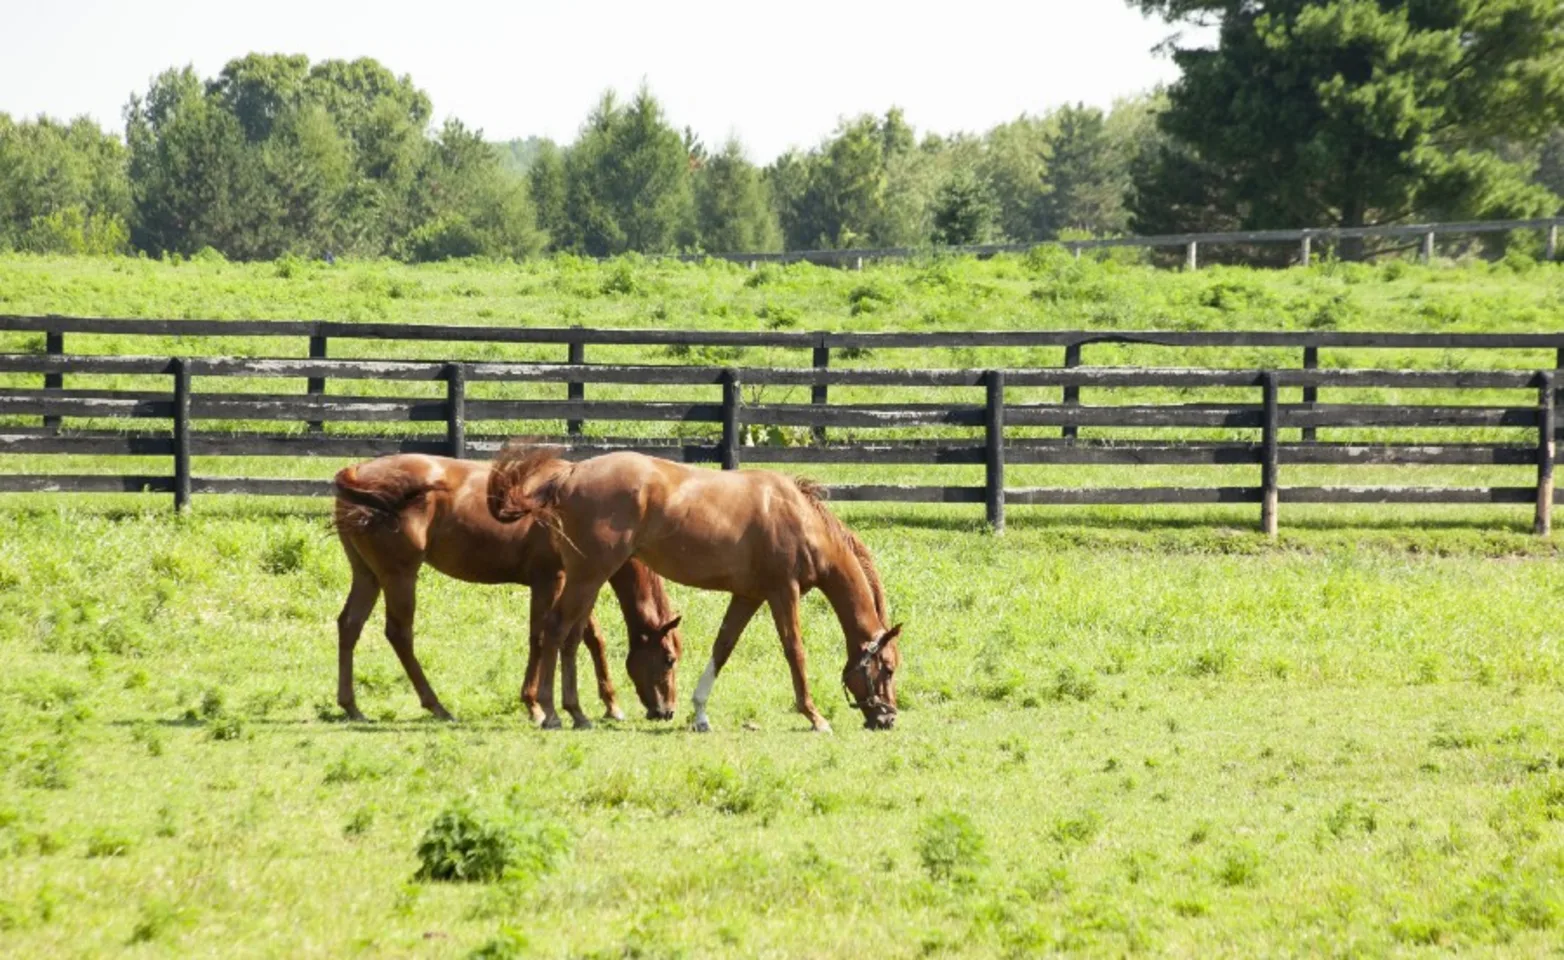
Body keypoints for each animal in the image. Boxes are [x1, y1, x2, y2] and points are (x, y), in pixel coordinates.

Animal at [332, 453, 684, 728]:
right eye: (668, 659)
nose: (667, 712)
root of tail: (356, 472)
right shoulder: (550, 581)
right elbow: (541, 638)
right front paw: (536, 707)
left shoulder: (576, 580)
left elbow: (592, 638)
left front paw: (611, 705)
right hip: (399, 576)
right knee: (399, 634)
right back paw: (437, 707)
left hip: (367, 575)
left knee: (349, 625)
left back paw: (352, 707)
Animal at [486, 445, 901, 732]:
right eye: (889, 669)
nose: (888, 718)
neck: (798, 517)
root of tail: (569, 475)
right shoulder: (784, 593)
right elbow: (794, 652)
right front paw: (815, 716)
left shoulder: (749, 596)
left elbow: (723, 647)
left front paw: (700, 713)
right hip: (588, 575)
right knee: (556, 630)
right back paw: (551, 712)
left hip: (588, 579)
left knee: (571, 638)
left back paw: (577, 713)